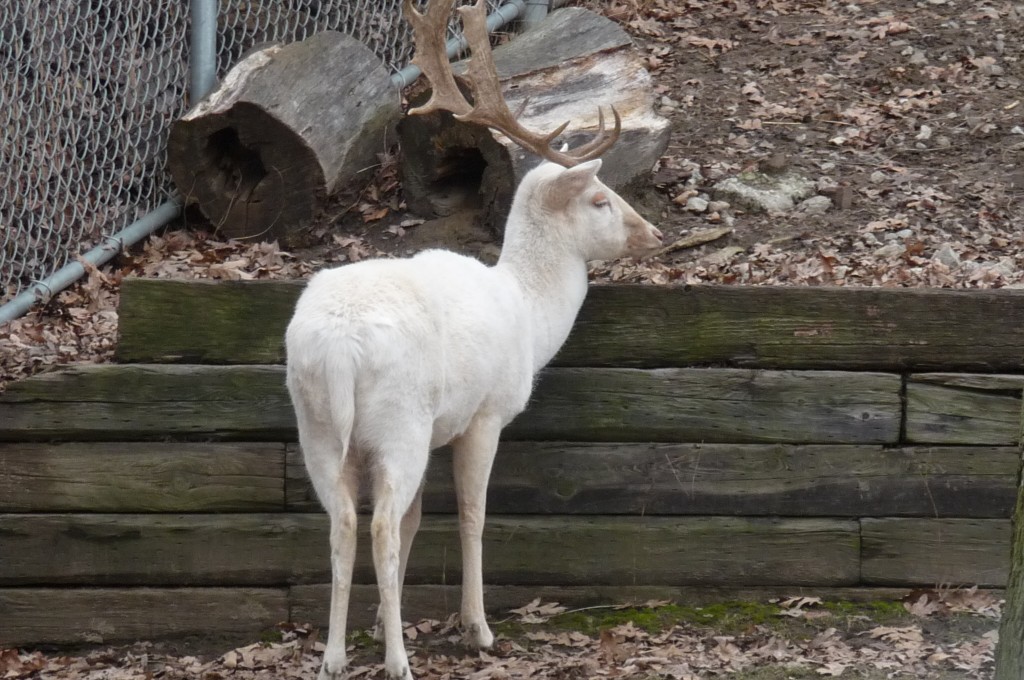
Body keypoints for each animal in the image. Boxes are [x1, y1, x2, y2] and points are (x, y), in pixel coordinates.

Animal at [284, 2, 663, 675]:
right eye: (600, 199)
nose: (655, 234)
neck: (530, 316)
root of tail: (339, 352)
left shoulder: (438, 429)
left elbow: (416, 520)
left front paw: (381, 620)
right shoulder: (484, 415)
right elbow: (471, 514)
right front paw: (476, 628)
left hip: (319, 427)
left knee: (342, 523)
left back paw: (333, 656)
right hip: (398, 423)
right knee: (376, 526)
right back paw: (398, 661)